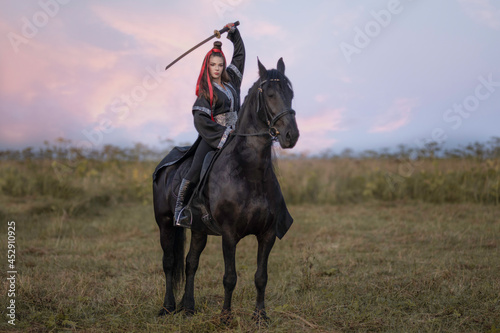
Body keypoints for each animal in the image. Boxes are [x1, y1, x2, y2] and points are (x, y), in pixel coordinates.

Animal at [152, 57, 298, 322]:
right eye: (270, 94)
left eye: (291, 94)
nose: (291, 135)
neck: (250, 174)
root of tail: (163, 166)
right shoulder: (230, 234)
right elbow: (230, 277)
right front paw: (226, 317)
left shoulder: (268, 234)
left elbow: (261, 277)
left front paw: (260, 316)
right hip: (165, 222)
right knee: (169, 262)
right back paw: (167, 307)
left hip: (198, 229)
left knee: (190, 263)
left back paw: (188, 307)